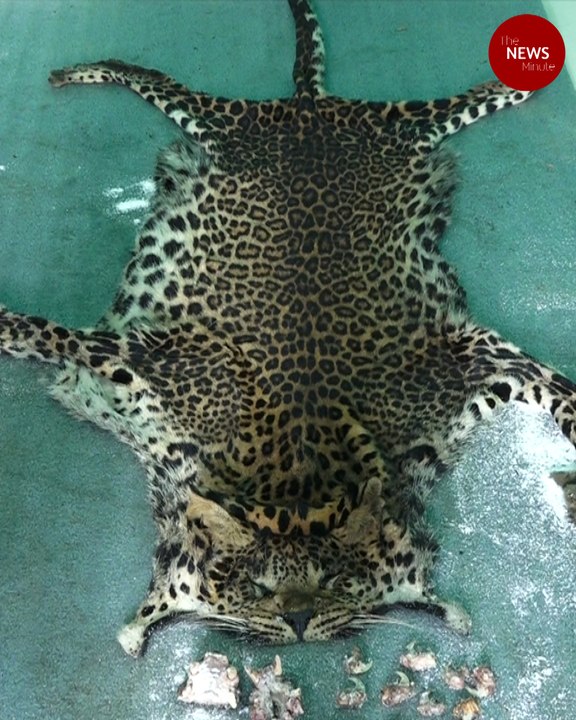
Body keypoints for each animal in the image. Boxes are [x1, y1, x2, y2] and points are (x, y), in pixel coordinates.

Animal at [1, 0, 574, 658]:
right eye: (253, 584)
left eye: (336, 580)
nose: (299, 620)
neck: (295, 475)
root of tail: (308, 109)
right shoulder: (158, 358)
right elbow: (48, 333)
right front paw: (8, 328)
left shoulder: (471, 358)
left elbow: (558, 388)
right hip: (235, 124)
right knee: (156, 79)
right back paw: (73, 71)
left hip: (385, 128)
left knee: (480, 96)